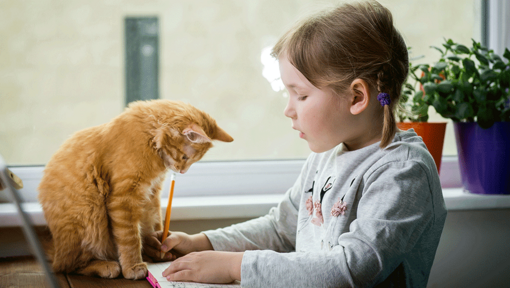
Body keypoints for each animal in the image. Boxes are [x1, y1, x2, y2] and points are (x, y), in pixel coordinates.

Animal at [36, 99, 232, 280]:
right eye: (185, 157)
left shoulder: (152, 194)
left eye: (192, 161)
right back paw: (105, 265)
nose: (182, 171)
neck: (150, 138)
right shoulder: (123, 198)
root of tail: (57, 249)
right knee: (66, 266)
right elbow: (130, 238)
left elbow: (154, 223)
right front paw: (133, 265)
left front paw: (159, 248)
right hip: (89, 214)